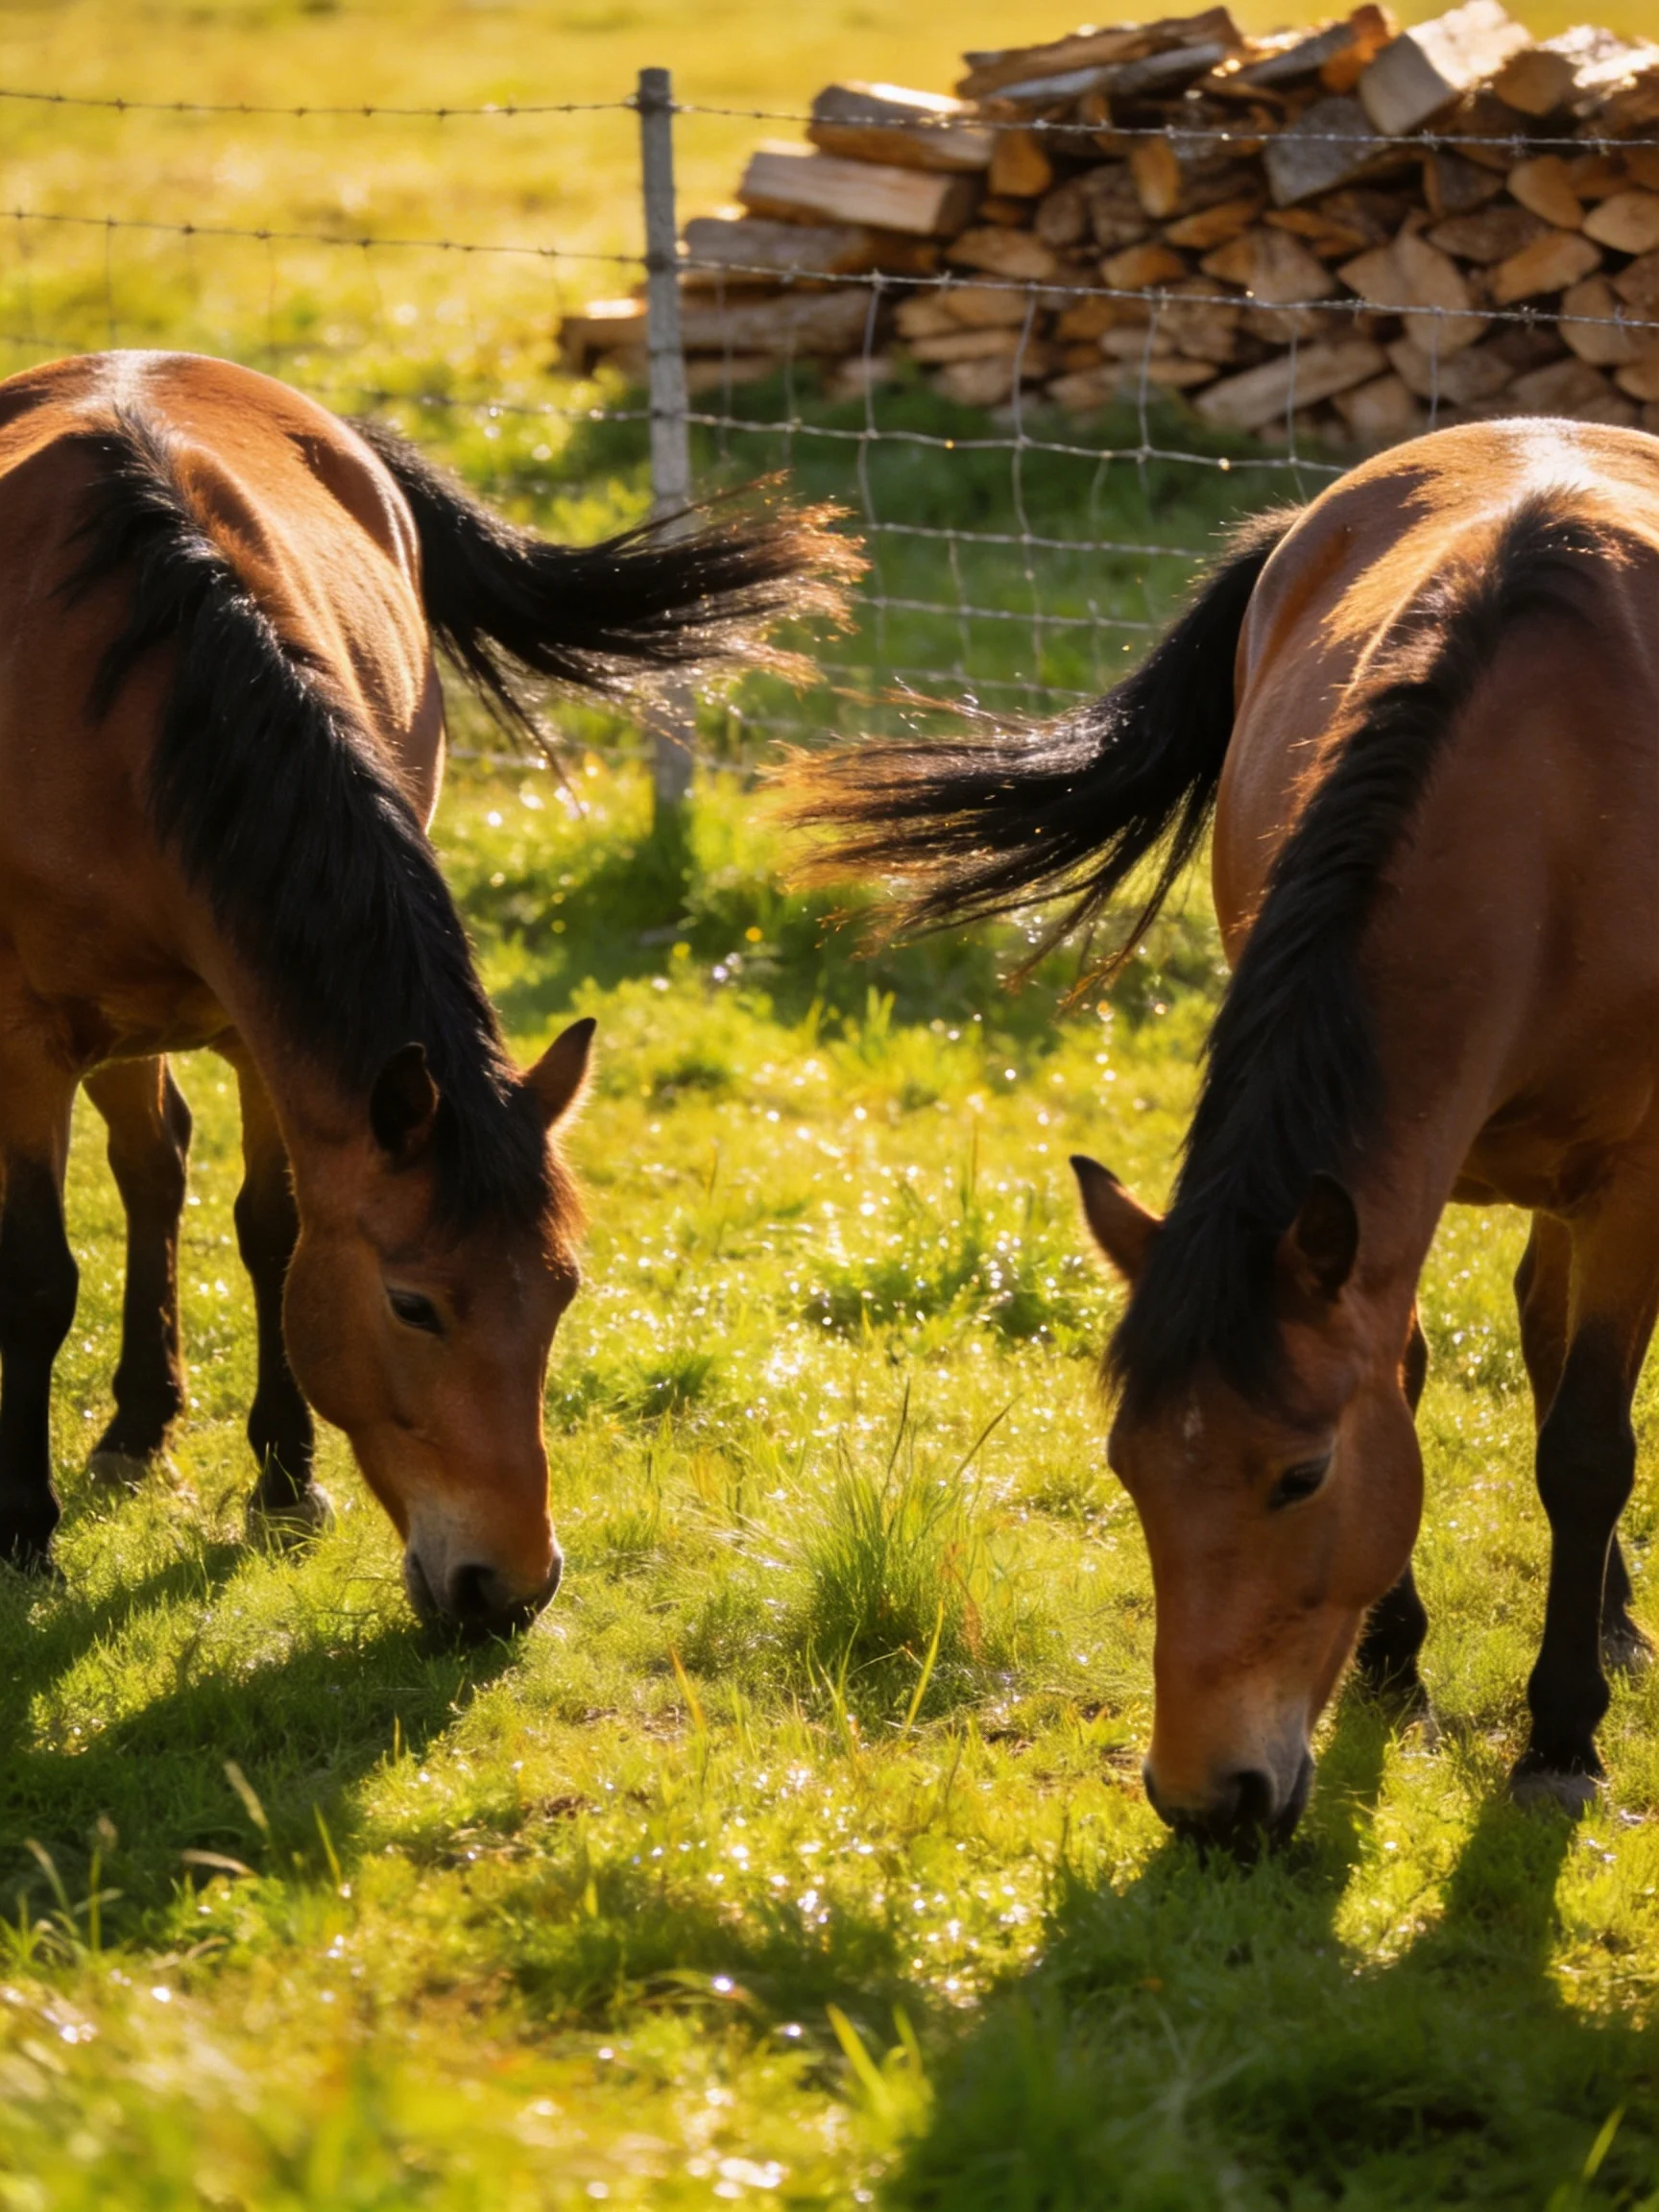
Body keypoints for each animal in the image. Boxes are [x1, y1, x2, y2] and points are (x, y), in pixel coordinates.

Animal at [0, 349, 847, 1640]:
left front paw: (286, 1481)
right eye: (413, 1307)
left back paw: (142, 1427)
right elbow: (39, 1278)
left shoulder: (266, 1030)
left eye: (562, 1294)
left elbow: (273, 1228)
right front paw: (24, 1537)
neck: (126, 713)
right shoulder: (29, 1041)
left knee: (156, 1167)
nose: (510, 1588)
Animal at [783, 415, 1659, 1851]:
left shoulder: (1630, 1190)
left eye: (1300, 1478)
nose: (1207, 1803)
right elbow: (1411, 1375)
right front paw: (1396, 1664)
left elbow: (1587, 1450)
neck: (1561, 805)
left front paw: (1561, 1738)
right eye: (1129, 1470)